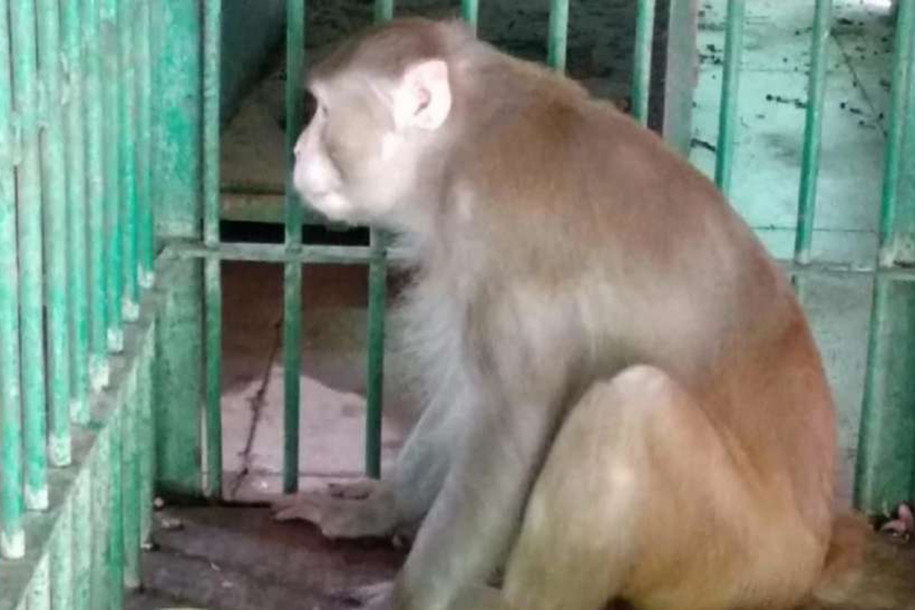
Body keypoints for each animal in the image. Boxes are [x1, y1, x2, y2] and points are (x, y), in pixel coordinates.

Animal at [276, 16, 875, 610]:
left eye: (324, 112)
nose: (298, 152)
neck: (465, 142)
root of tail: (813, 554)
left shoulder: (505, 250)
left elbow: (506, 425)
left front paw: (409, 596)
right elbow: (467, 395)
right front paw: (370, 512)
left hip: (741, 560)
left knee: (633, 405)